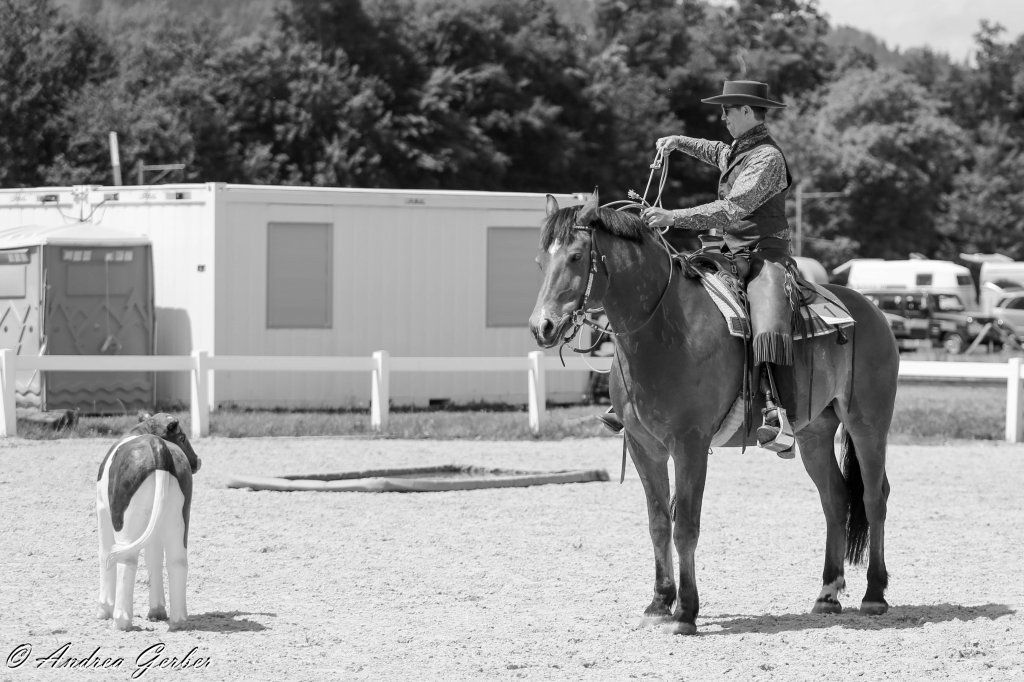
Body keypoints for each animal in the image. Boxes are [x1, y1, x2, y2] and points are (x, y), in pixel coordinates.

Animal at [529, 190, 898, 635]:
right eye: (540, 260)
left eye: (576, 256)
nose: (542, 327)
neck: (665, 328)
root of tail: (871, 310)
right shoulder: (642, 446)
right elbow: (658, 524)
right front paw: (659, 603)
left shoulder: (689, 444)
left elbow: (686, 525)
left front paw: (685, 613)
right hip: (814, 433)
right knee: (836, 498)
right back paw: (827, 595)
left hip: (868, 425)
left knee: (874, 497)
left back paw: (874, 594)